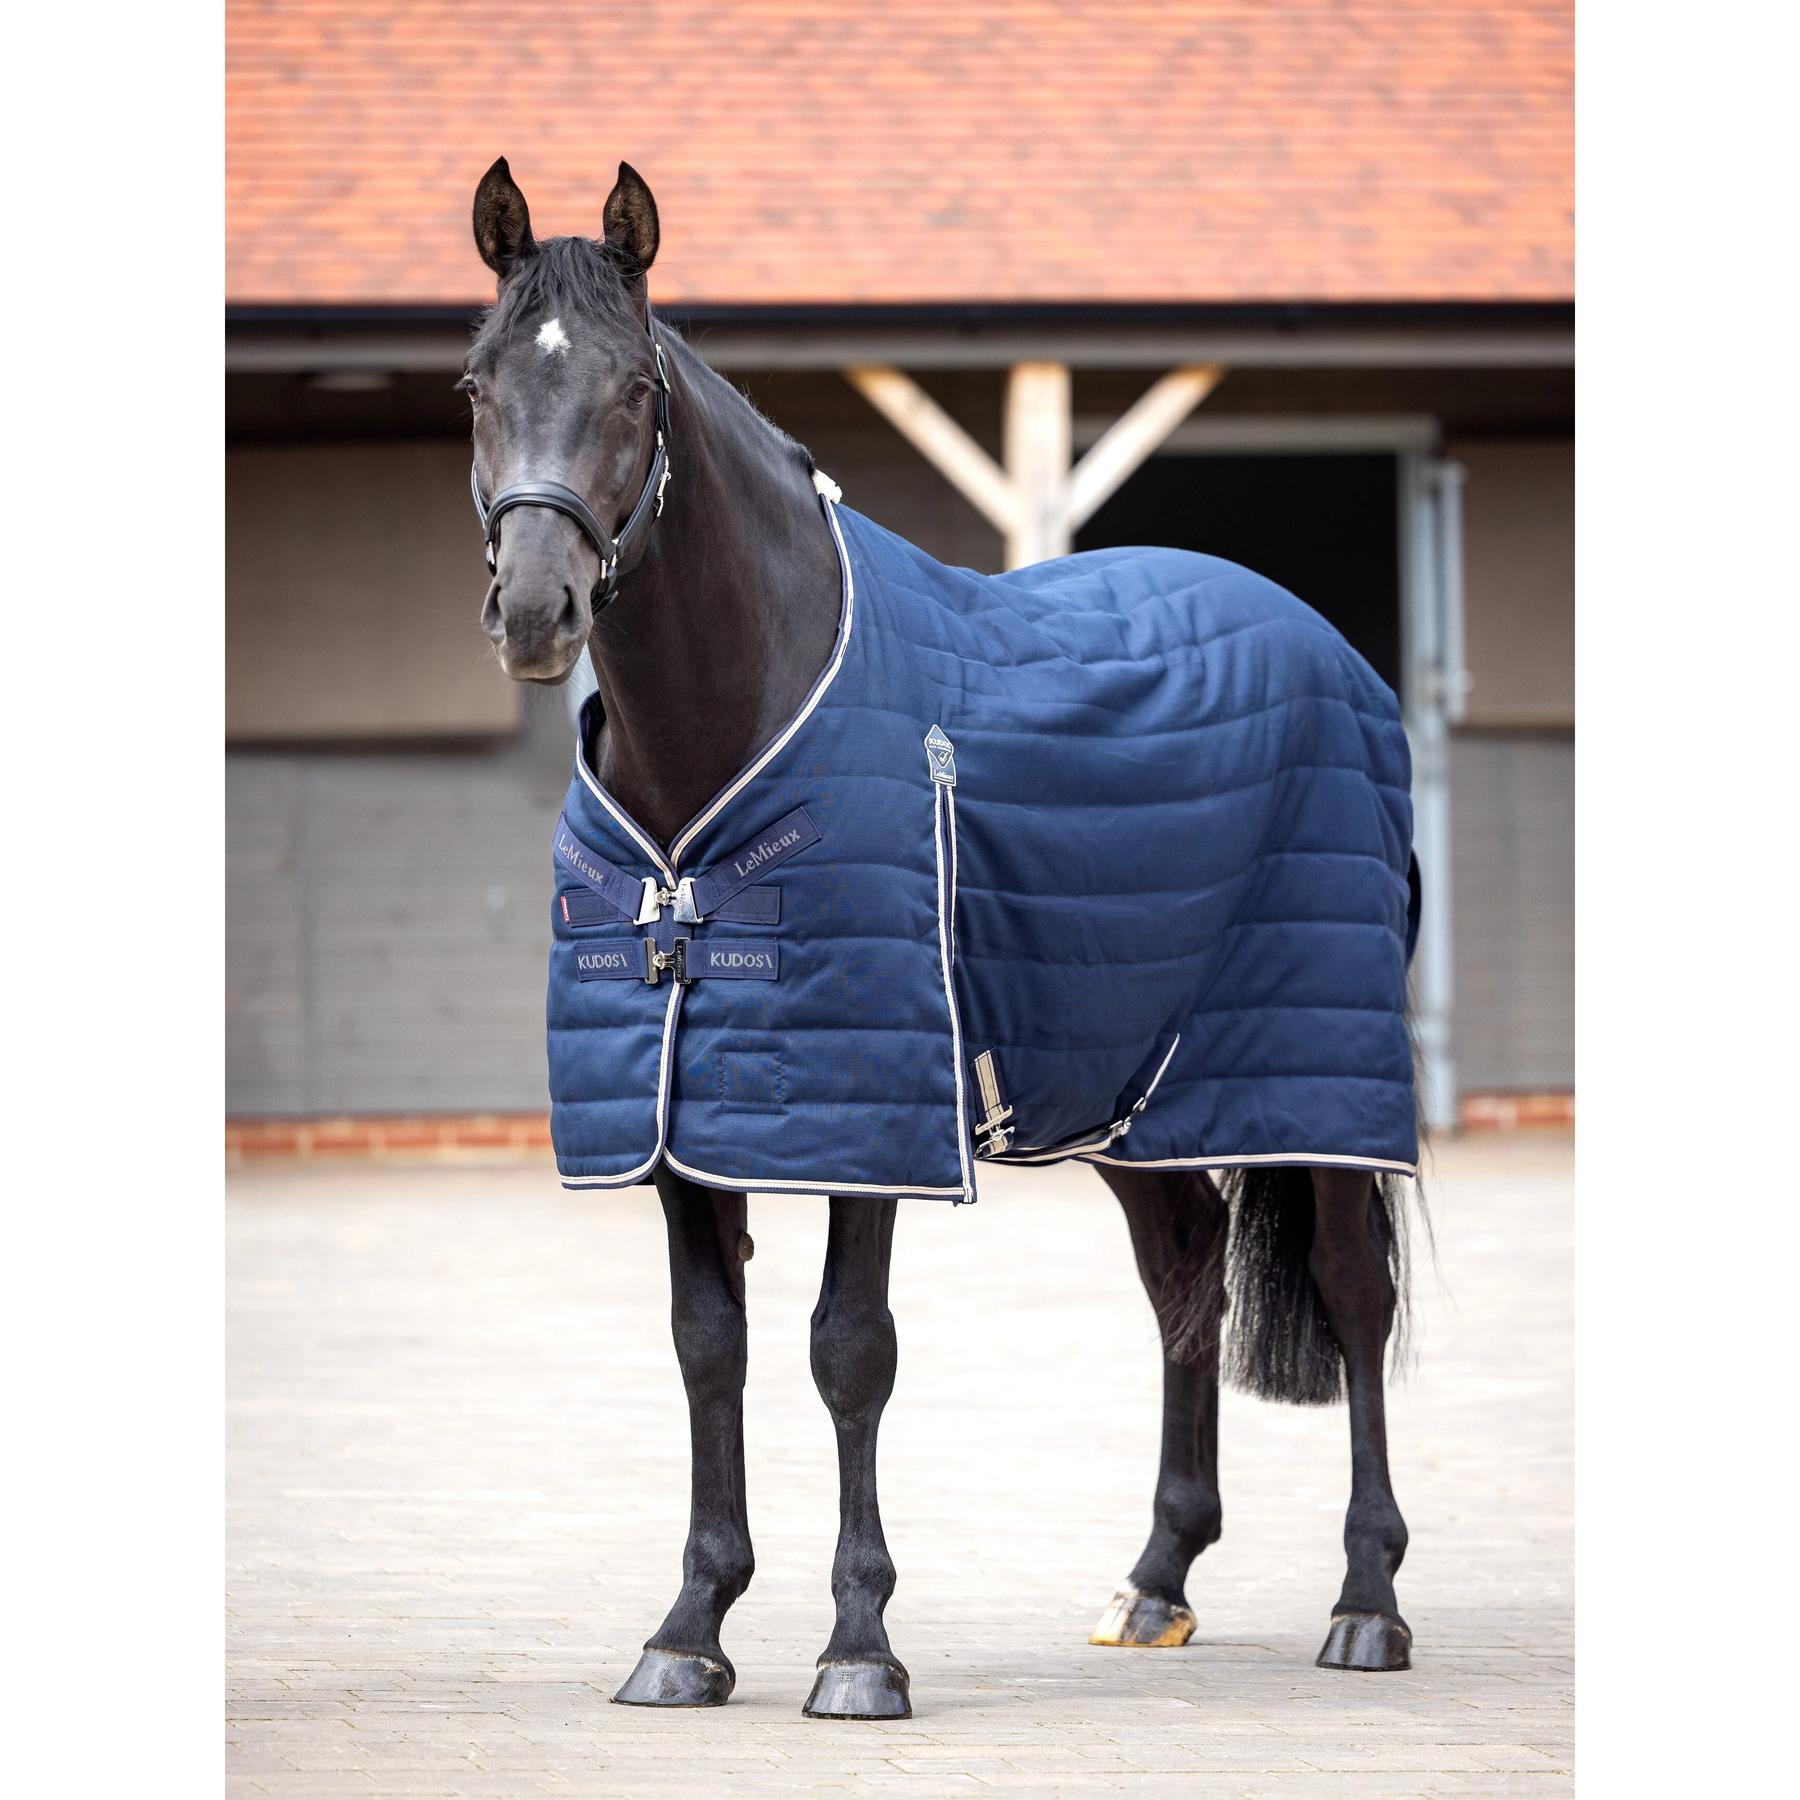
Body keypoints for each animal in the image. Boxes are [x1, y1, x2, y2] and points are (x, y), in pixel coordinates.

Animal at [465, 156, 1420, 1720]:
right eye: (478, 383)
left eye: (635, 387)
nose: (538, 609)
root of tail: (1329, 648)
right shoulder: (681, 1116)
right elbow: (708, 1347)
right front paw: (689, 1629)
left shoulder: (874, 1111)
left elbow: (848, 1353)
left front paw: (858, 1649)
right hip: (1133, 1095)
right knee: (1185, 1284)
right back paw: (1156, 1584)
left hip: (1318, 1076)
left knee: (1352, 1299)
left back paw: (1369, 1602)